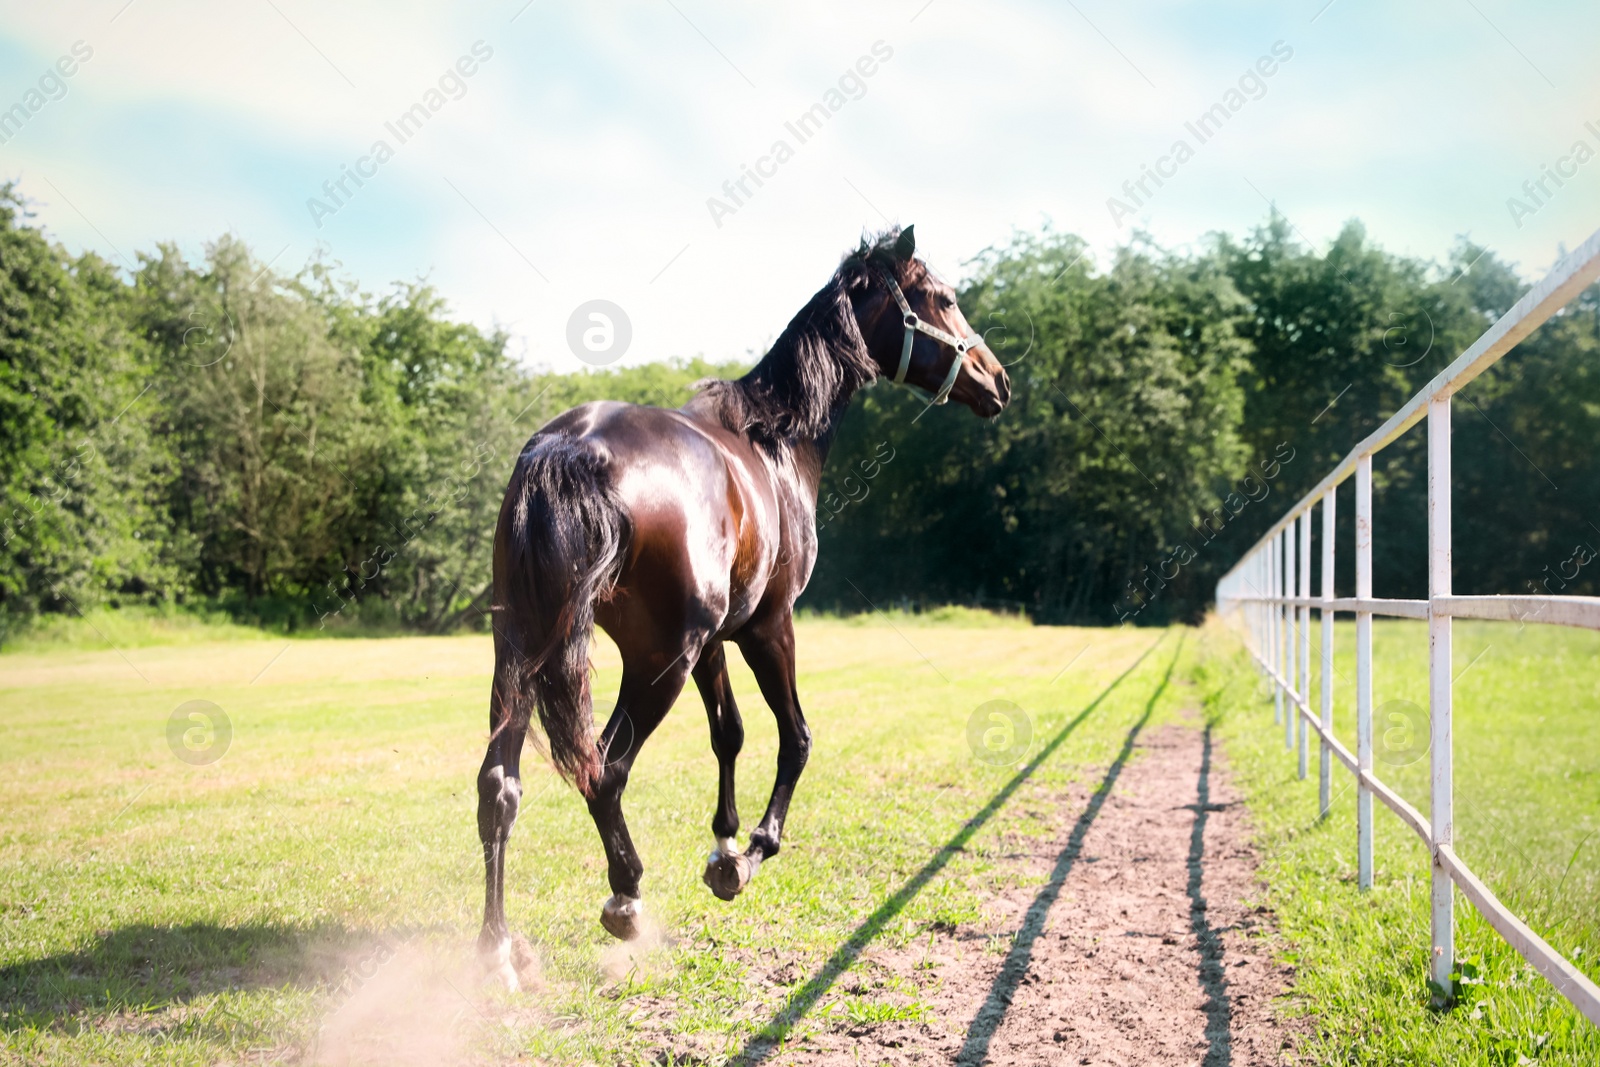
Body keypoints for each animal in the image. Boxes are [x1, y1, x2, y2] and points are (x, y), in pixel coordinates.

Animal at [470, 223, 1011, 985]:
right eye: (944, 298)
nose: (998, 379)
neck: (773, 442)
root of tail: (570, 447)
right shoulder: (766, 626)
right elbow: (795, 736)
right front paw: (751, 850)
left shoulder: (715, 641)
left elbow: (728, 732)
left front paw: (723, 844)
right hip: (656, 661)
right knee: (605, 770)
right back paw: (626, 896)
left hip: (523, 648)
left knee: (500, 784)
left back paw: (497, 947)